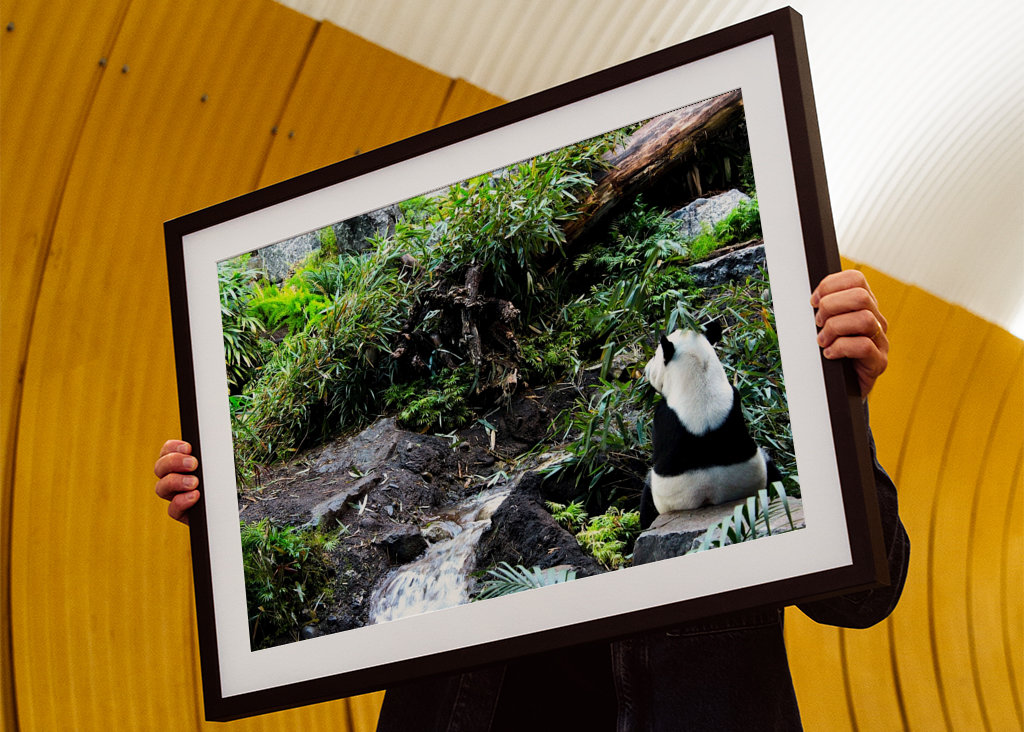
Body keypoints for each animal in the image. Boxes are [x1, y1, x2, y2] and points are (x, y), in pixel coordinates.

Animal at [639, 321, 780, 529]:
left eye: (656, 355)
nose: (646, 369)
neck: (700, 383)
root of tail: (709, 500)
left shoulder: (663, 418)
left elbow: (656, 455)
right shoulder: (734, 399)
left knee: (646, 500)